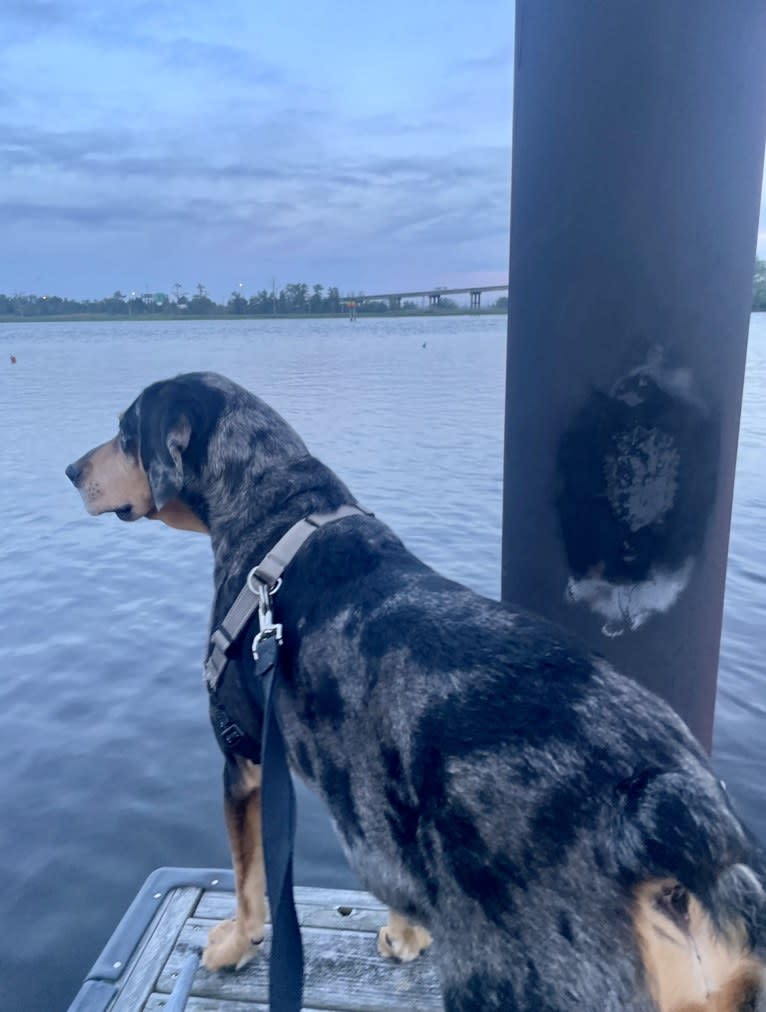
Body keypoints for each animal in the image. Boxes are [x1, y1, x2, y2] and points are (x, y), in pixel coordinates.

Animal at [67, 374, 764, 1011]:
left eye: (126, 433)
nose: (72, 470)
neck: (281, 507)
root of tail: (671, 818)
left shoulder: (243, 761)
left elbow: (247, 880)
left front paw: (235, 945)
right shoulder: (380, 813)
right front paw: (406, 938)